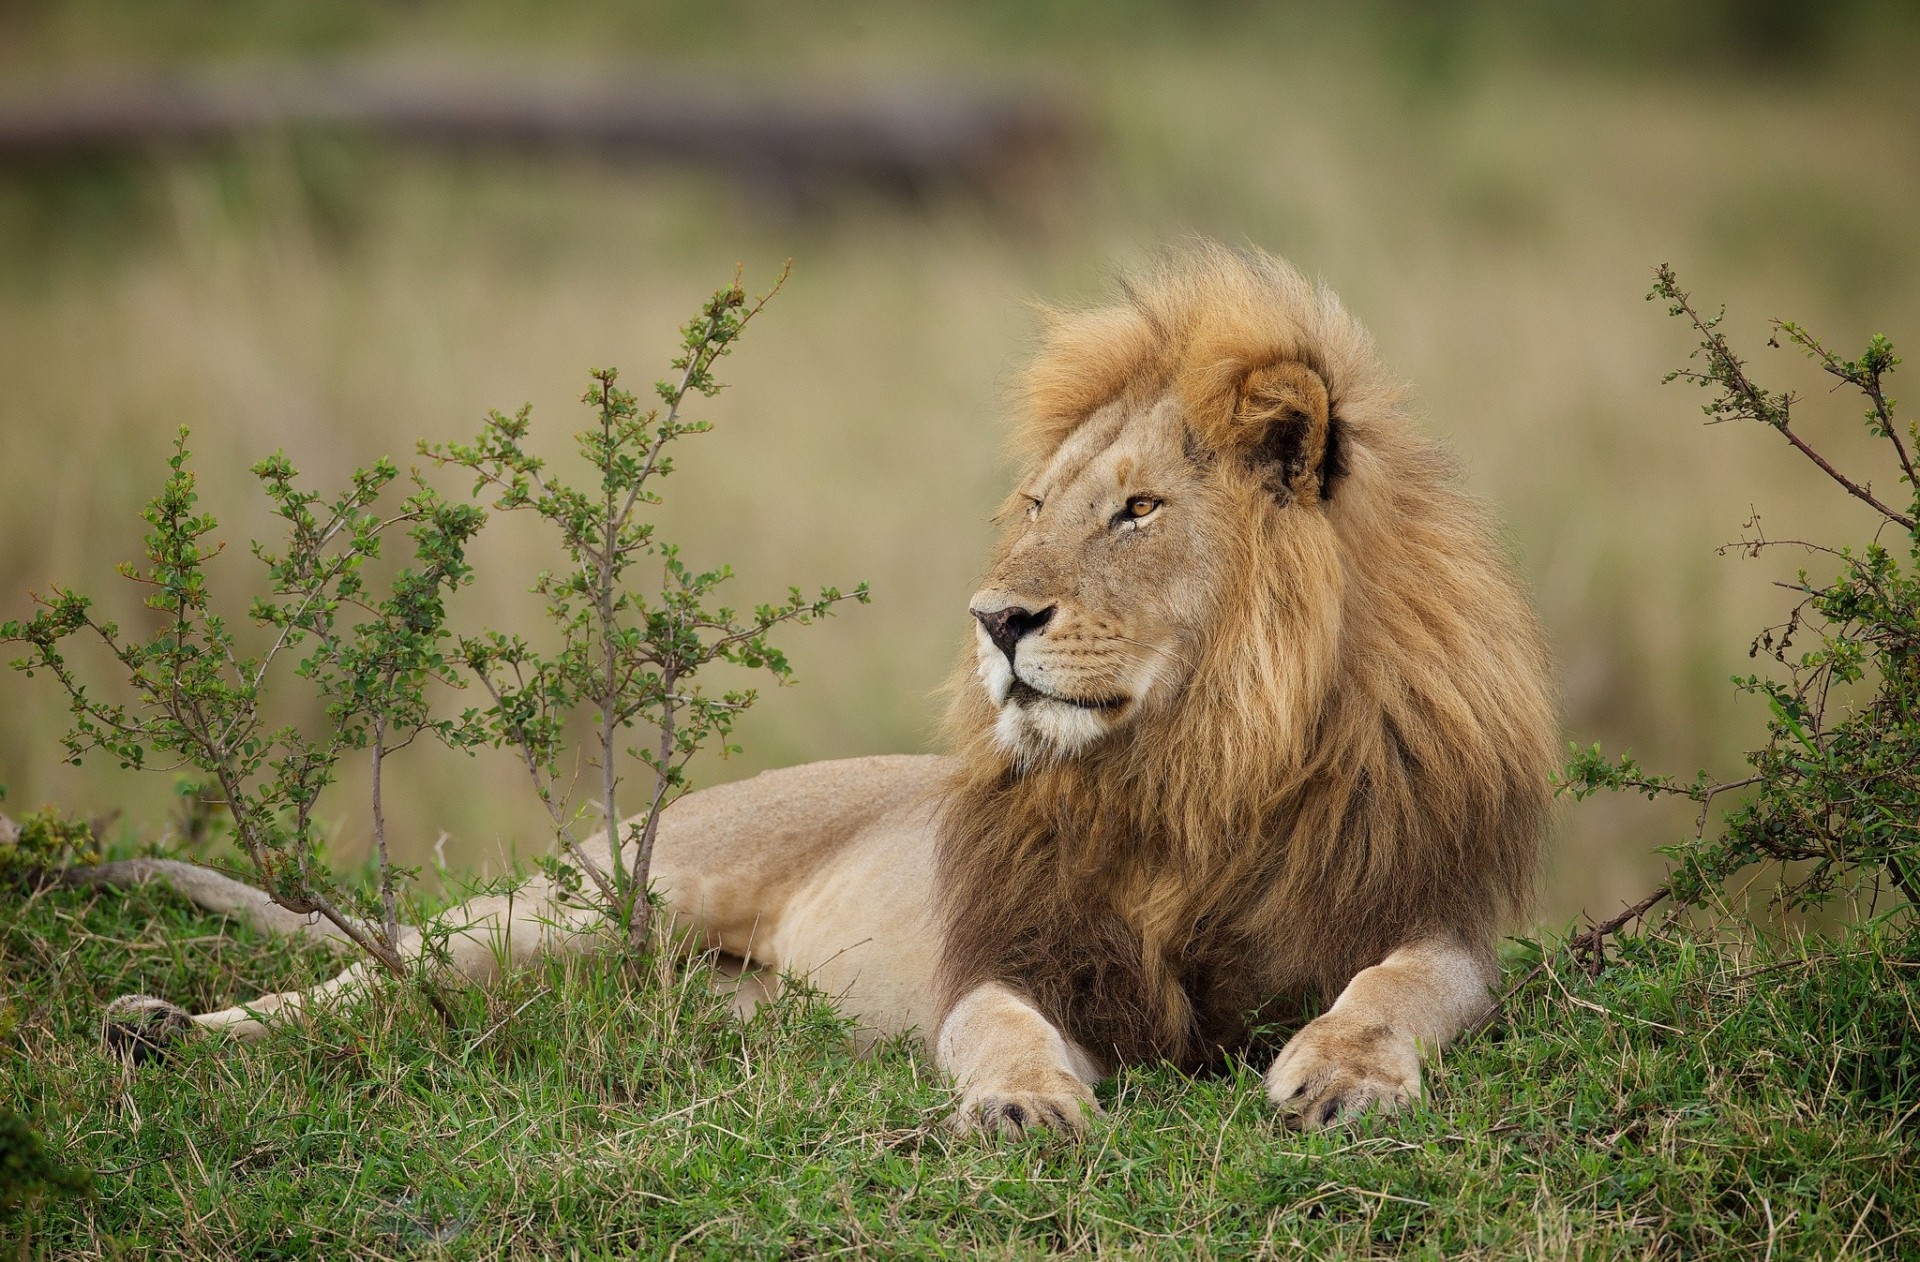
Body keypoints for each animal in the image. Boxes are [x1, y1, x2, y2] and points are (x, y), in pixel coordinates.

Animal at [84, 242, 1557, 1136]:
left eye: (1137, 509)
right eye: (1038, 504)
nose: (996, 619)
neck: (1198, 761)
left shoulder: (1427, 914)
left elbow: (1393, 987)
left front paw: (1340, 1073)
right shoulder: (1016, 949)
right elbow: (998, 1026)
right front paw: (1023, 1104)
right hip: (598, 897)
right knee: (378, 972)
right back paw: (160, 1027)